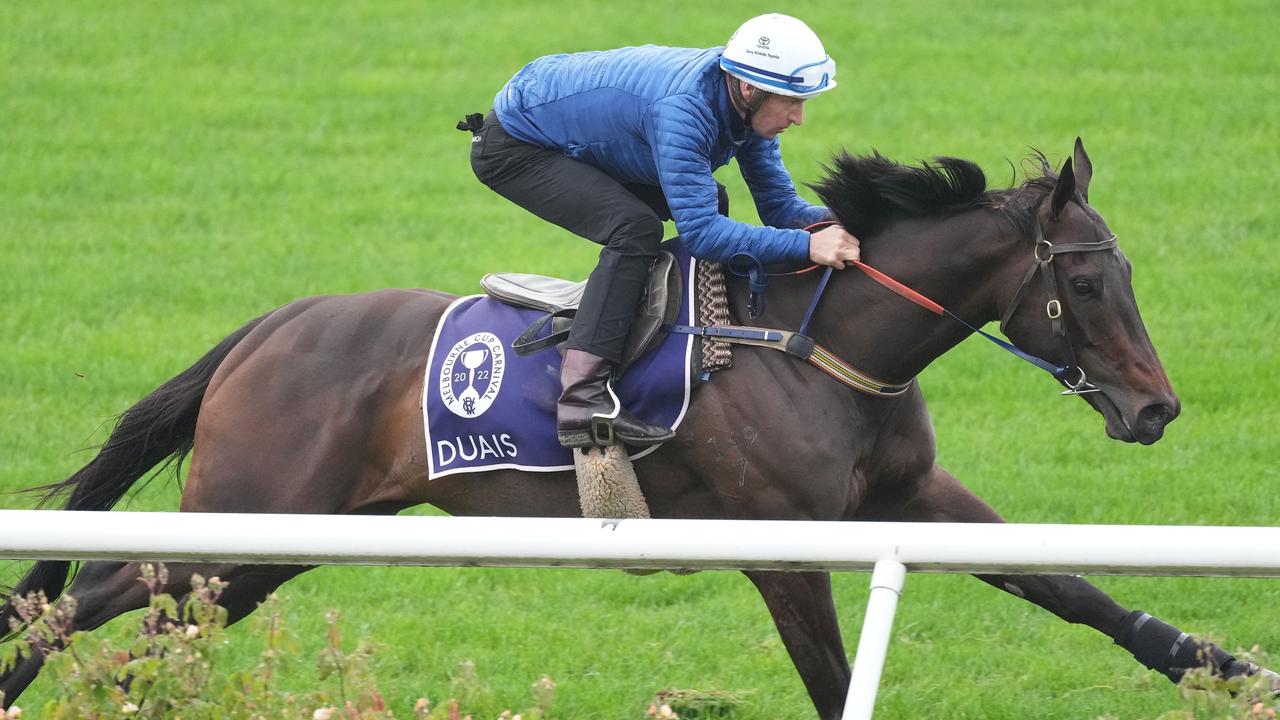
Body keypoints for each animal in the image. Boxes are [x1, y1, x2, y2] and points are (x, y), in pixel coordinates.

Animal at [0, 137, 1259, 712]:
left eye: (1125, 274)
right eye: (1085, 283)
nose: (1154, 405)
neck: (811, 346)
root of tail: (269, 325)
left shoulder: (908, 501)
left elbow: (1069, 587)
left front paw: (1219, 660)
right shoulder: (783, 550)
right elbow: (828, 675)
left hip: (273, 543)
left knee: (144, 631)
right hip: (245, 512)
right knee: (81, 597)